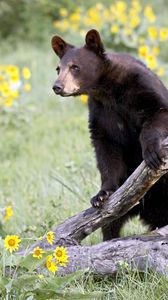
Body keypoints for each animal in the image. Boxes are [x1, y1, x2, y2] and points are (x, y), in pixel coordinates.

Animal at [50, 29, 168, 241]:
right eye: (58, 68)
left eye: (75, 67)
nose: (57, 86)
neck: (107, 89)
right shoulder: (101, 111)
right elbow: (106, 149)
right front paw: (101, 194)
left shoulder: (142, 86)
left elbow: (158, 112)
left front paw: (152, 153)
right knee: (110, 224)